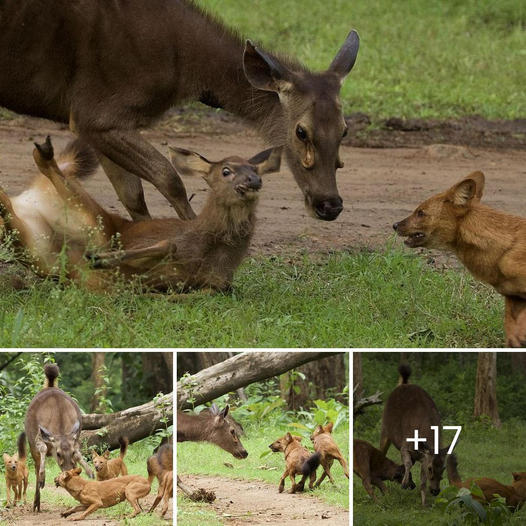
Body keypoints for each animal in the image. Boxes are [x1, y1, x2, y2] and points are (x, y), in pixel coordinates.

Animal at [0, 0, 360, 223]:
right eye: (301, 131)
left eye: (344, 129)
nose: (330, 205)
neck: (184, 68)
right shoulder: (97, 112)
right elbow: (170, 178)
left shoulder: (94, 122)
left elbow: (133, 196)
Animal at [0, 136, 280, 292]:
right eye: (226, 171)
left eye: (256, 170)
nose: (254, 181)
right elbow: (167, 246)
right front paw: (104, 260)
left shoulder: (218, 284)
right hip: (94, 222)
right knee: (44, 164)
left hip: (40, 252)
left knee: (12, 214)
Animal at [24, 366, 93, 512]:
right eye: (58, 453)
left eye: (71, 453)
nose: (67, 471)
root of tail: (50, 385)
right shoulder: (38, 438)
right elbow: (43, 449)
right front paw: (42, 479)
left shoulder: (76, 437)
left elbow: (78, 455)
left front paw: (90, 472)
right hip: (31, 446)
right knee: (36, 467)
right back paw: (36, 504)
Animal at [380, 368, 450, 508]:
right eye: (430, 468)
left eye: (444, 468)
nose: (435, 491)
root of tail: (403, 383)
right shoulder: (405, 446)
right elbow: (408, 464)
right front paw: (404, 483)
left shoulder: (423, 458)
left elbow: (422, 481)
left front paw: (424, 503)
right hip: (385, 430)